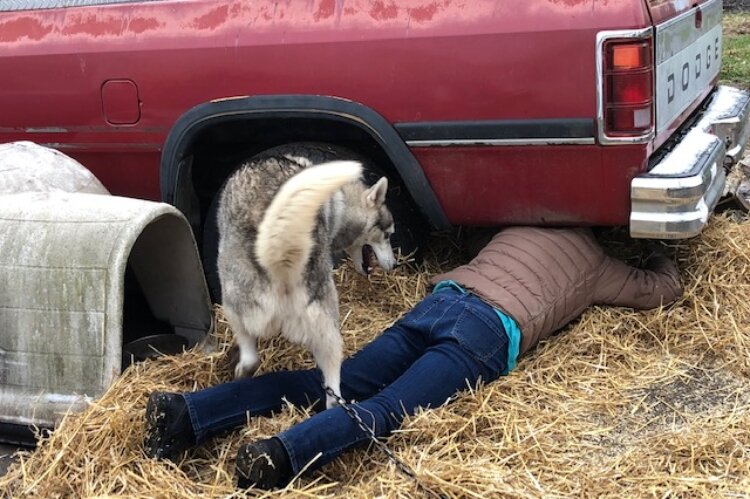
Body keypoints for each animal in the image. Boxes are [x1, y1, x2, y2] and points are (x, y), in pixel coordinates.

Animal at [217, 153, 400, 410]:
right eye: (387, 235)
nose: (395, 265)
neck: (340, 202)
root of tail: (282, 263)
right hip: (326, 330)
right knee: (333, 397)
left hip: (231, 301)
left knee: (250, 355)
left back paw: (242, 370)